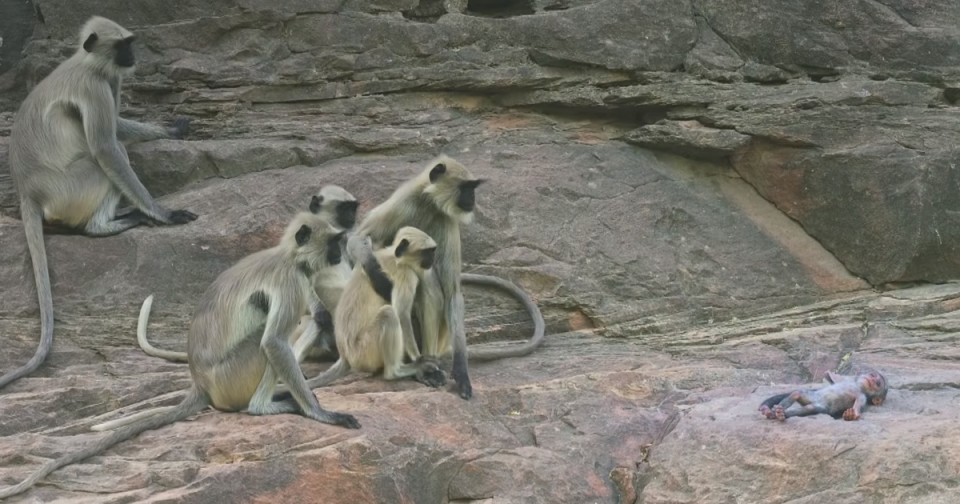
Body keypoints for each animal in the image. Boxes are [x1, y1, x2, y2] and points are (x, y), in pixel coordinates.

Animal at [0, 14, 199, 386]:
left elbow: (116, 126)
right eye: (123, 45)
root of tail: (27, 191)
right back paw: (108, 224)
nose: (132, 56)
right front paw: (163, 214)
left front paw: (172, 131)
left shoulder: (111, 80)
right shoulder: (94, 86)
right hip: (70, 187)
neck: (87, 62)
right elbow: (107, 144)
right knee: (108, 154)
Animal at [0, 211, 360, 498]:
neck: (289, 257)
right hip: (231, 376)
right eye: (334, 242)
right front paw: (320, 413)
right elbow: (273, 342)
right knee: (267, 341)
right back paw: (264, 406)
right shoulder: (291, 281)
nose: (340, 254)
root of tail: (200, 383)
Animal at [338, 156, 548, 400]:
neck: (430, 204)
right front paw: (377, 275)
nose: (473, 199)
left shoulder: (447, 220)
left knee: (430, 285)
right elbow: (358, 237)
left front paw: (461, 371)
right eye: (466, 188)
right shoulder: (403, 201)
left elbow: (451, 293)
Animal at [756, 370, 884, 422]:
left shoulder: (862, 396)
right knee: (797, 393)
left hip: (819, 406)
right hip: (812, 396)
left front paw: (852, 415)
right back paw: (775, 410)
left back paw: (780, 414)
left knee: (810, 408)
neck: (858, 386)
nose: (872, 379)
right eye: (872, 375)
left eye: (878, 383)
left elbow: (857, 407)